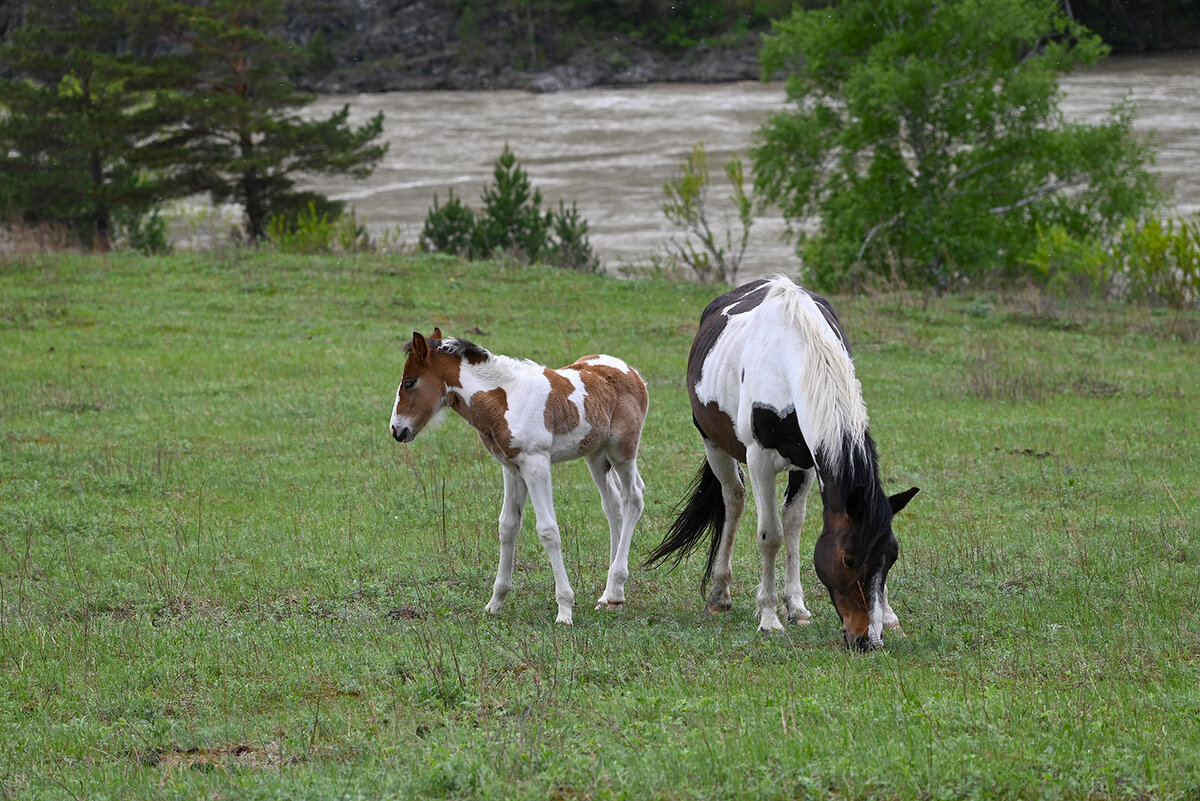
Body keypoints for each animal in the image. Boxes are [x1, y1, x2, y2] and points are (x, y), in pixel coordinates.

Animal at [390, 328, 649, 625]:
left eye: (409, 383)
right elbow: (508, 526)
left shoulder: (536, 463)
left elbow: (548, 530)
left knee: (634, 498)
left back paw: (615, 589)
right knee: (613, 505)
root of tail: (632, 372)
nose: (396, 430)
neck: (505, 400)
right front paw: (495, 602)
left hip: (621, 450)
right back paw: (609, 596)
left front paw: (564, 609)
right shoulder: (512, 468)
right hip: (596, 455)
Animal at [646, 277, 918, 649]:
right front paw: (769, 617)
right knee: (733, 499)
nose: (868, 640)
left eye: (891, 556)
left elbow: (794, 524)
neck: (796, 352)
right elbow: (770, 535)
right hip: (713, 443)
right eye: (848, 559)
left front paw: (881, 617)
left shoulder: (809, 460)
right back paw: (719, 595)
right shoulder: (759, 459)